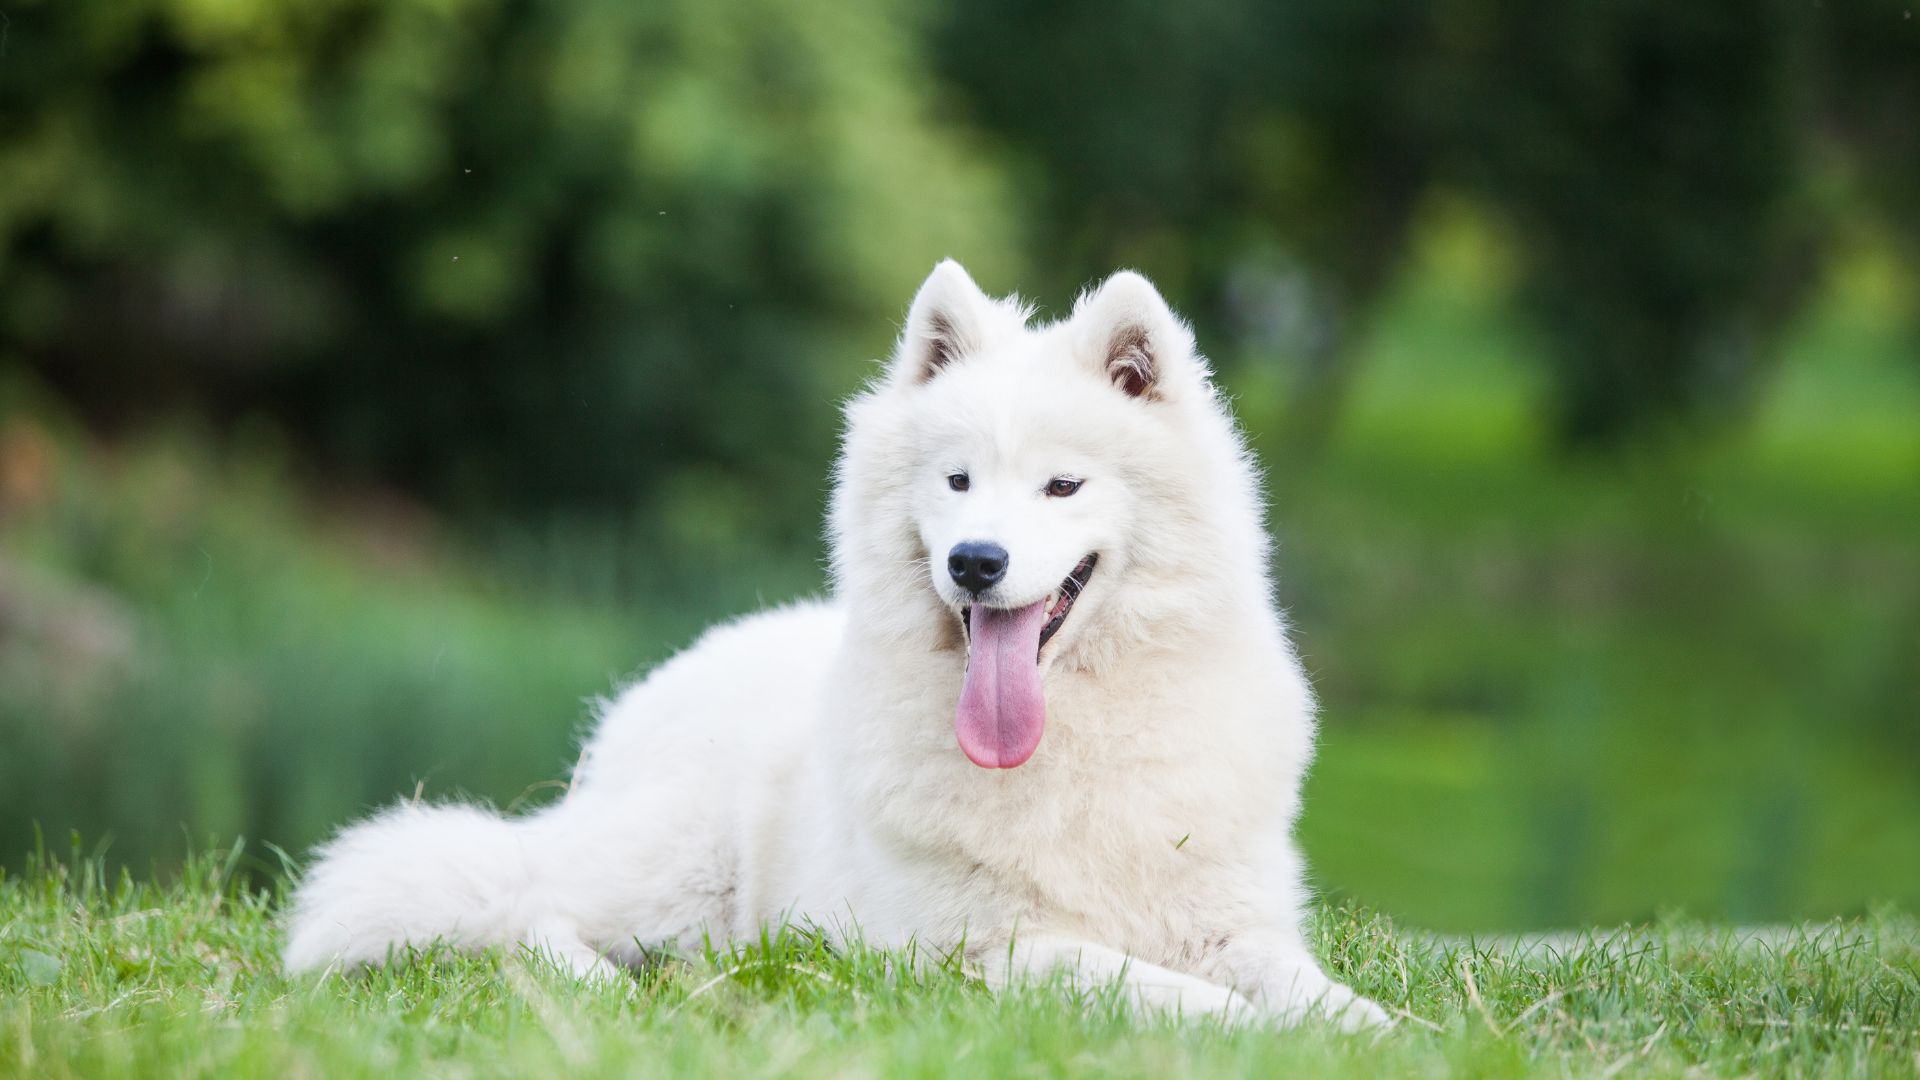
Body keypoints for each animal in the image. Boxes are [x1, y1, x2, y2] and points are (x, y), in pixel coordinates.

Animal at [284, 261, 1390, 1022]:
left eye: (1063, 485)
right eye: (956, 480)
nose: (976, 562)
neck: (1072, 737)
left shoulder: (1232, 919)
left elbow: (1319, 994)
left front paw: (1372, 1032)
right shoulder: (981, 945)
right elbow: (1170, 992)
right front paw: (1248, 1031)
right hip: (676, 864)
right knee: (525, 913)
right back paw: (617, 987)